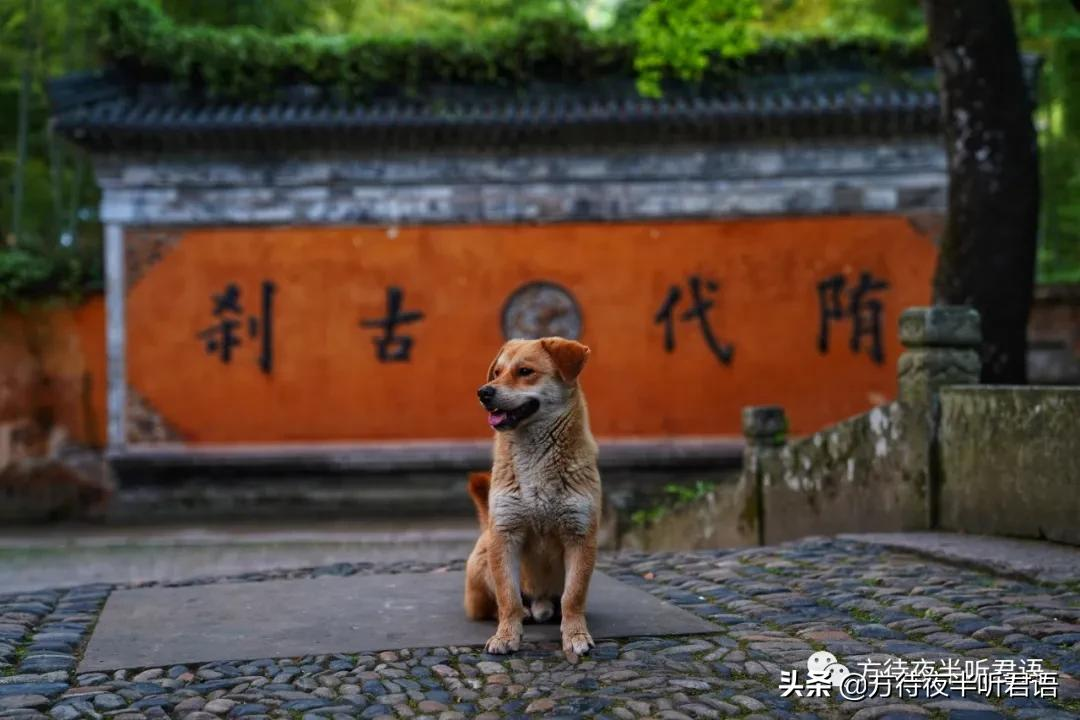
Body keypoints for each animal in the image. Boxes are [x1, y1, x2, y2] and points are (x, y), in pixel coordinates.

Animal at [462, 338, 604, 660]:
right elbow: (508, 598)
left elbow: (573, 597)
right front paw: (506, 636)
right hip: (482, 560)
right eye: (497, 372)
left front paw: (575, 635)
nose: (483, 392)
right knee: (494, 606)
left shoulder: (580, 536)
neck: (536, 462)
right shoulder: (505, 535)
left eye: (525, 371)